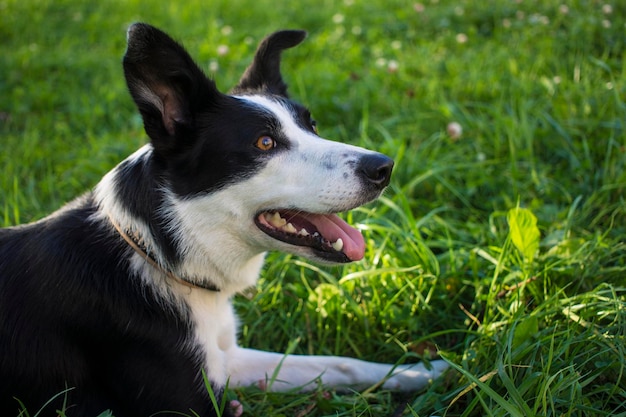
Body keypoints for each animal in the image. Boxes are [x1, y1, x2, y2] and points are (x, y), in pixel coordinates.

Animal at [0, 23, 444, 416]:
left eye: (312, 125)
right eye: (264, 142)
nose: (383, 167)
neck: (158, 253)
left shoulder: (227, 359)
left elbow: (338, 363)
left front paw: (423, 371)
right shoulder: (187, 405)